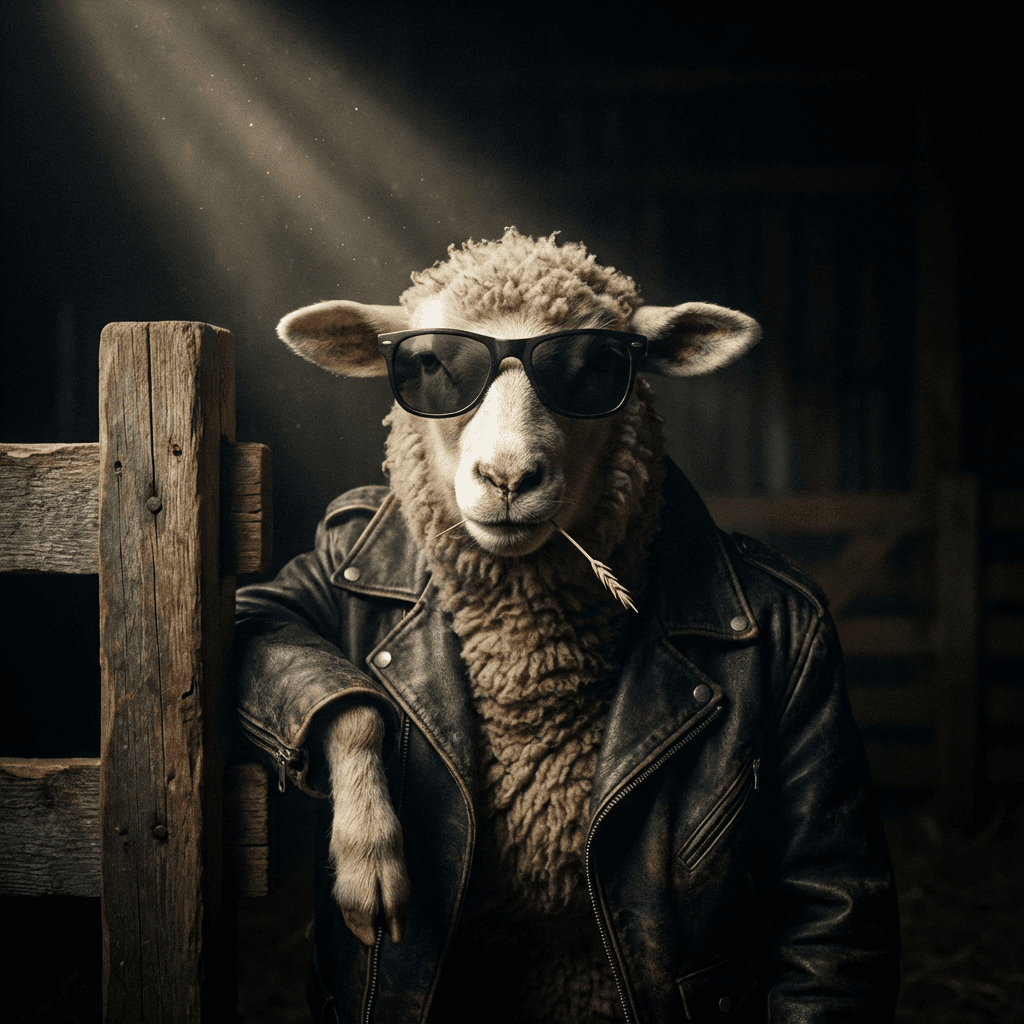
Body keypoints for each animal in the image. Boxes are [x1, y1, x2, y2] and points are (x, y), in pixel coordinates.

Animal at [267, 227, 762, 1021]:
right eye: (428, 364)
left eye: (596, 367)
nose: (506, 479)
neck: (527, 673)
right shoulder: (268, 609)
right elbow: (342, 696)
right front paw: (370, 860)